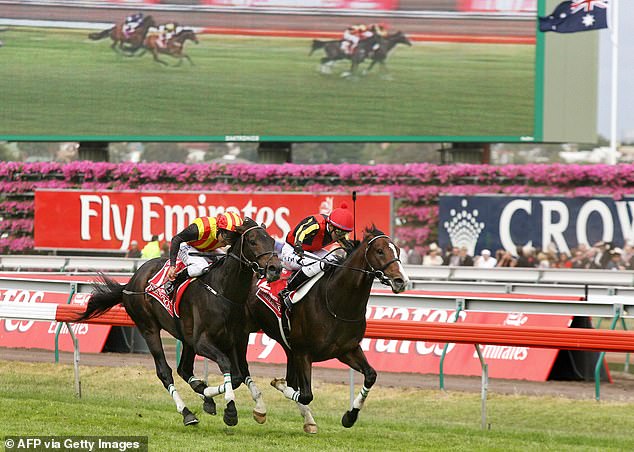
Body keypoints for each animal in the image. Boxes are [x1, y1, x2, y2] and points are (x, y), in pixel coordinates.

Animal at [73, 219, 278, 428]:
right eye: (252, 241)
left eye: (271, 241)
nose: (275, 269)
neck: (225, 294)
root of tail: (128, 284)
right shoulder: (202, 342)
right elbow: (226, 365)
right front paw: (230, 410)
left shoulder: (235, 340)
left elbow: (238, 375)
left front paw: (214, 397)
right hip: (149, 328)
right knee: (165, 372)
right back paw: (187, 413)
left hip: (185, 337)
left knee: (184, 369)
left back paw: (204, 395)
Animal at [235, 228, 408, 432]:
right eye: (380, 251)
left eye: (398, 250)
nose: (401, 281)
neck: (336, 302)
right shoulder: (303, 353)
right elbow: (305, 394)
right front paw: (279, 384)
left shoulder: (347, 350)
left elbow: (370, 376)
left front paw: (350, 416)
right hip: (243, 331)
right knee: (242, 367)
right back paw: (259, 408)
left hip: (287, 345)